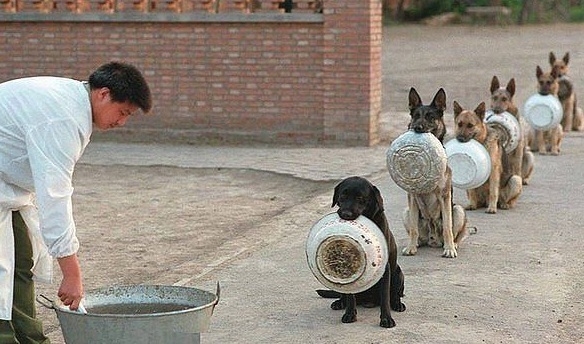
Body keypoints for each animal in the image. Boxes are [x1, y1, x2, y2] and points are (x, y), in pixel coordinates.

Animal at [314, 177, 406, 328]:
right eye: (343, 196)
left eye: (360, 198)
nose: (345, 214)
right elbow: (351, 297)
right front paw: (350, 314)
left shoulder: (385, 269)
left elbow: (385, 297)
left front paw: (386, 319)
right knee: (344, 295)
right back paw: (340, 303)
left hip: (398, 274)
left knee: (394, 295)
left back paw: (397, 304)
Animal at [402, 88, 470, 258]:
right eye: (416, 116)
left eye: (430, 117)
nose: (417, 128)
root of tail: (432, 239)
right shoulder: (412, 197)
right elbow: (413, 228)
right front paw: (411, 247)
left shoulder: (444, 196)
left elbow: (447, 227)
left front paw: (449, 249)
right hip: (406, 211)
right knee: (416, 232)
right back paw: (417, 243)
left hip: (458, 210)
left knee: (455, 232)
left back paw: (453, 244)